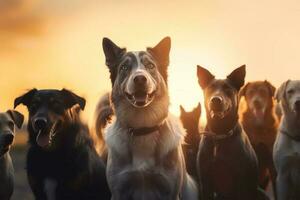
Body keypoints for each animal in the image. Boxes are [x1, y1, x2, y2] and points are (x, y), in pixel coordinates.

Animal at [97, 36, 198, 199]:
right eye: (124, 67)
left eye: (150, 65)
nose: (139, 79)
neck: (142, 128)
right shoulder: (119, 190)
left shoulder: (170, 191)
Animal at [196, 65, 268, 200]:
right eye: (211, 88)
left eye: (227, 89)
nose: (216, 100)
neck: (219, 134)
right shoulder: (205, 181)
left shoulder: (240, 181)